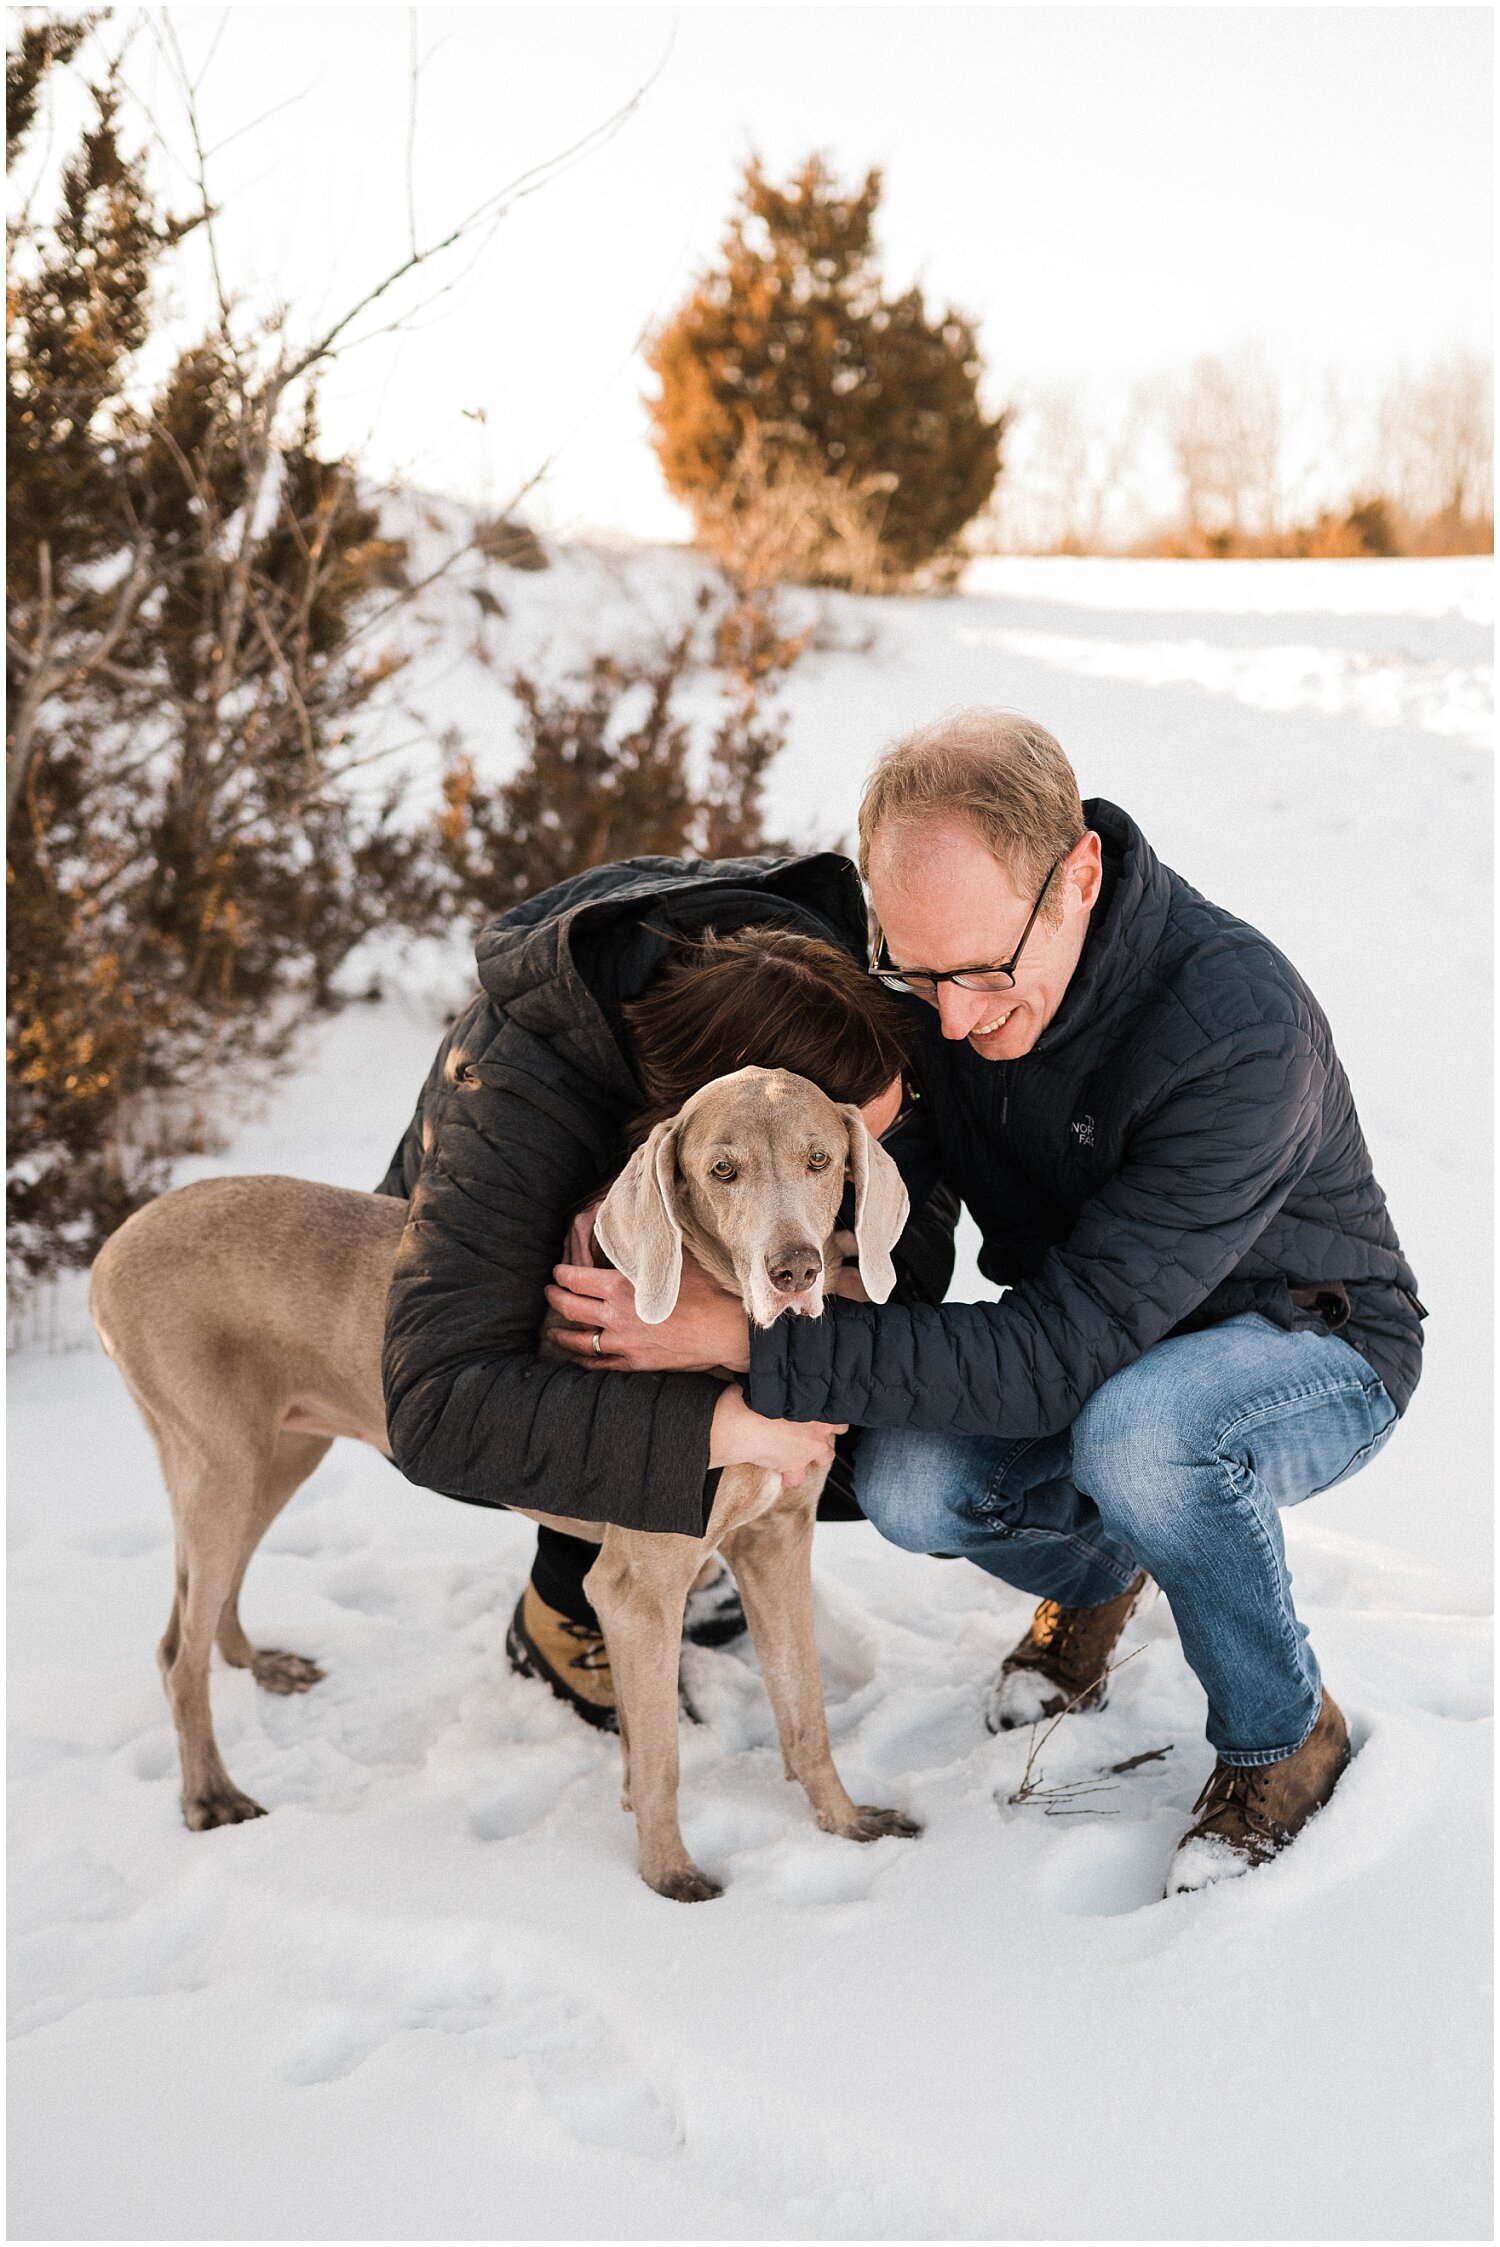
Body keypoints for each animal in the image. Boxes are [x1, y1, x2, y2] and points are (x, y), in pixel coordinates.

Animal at [90, 1065, 925, 1896]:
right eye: (722, 1169)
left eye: (820, 1160)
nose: (794, 1269)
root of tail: (111, 1250)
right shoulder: (637, 1587)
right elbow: (663, 1756)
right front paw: (669, 1875)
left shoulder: (775, 1541)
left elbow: (804, 1710)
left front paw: (849, 1824)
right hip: (224, 1463)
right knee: (177, 1648)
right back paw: (211, 1796)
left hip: (278, 1451)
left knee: (207, 1598)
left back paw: (260, 1663)